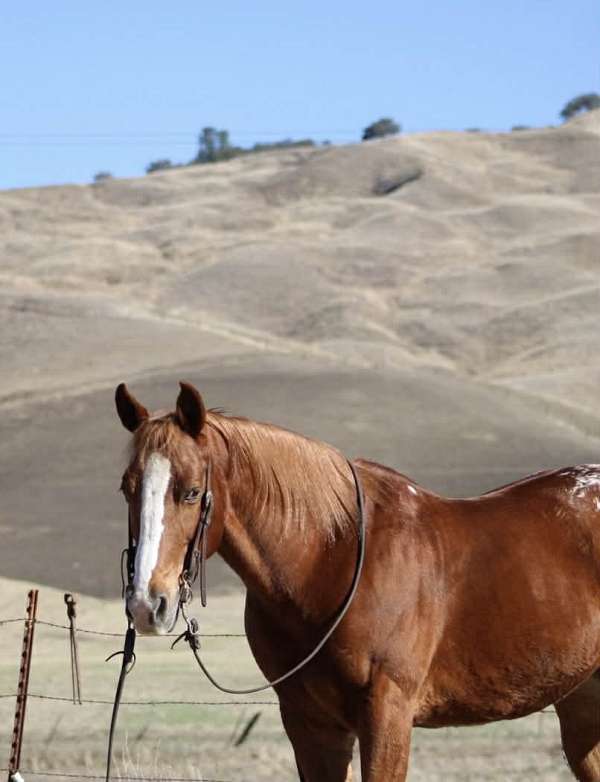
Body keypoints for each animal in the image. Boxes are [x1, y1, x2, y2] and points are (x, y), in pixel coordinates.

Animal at [115, 380, 600, 781]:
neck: (331, 560)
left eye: (192, 492)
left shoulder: (387, 715)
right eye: (126, 488)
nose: (146, 604)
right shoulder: (311, 725)